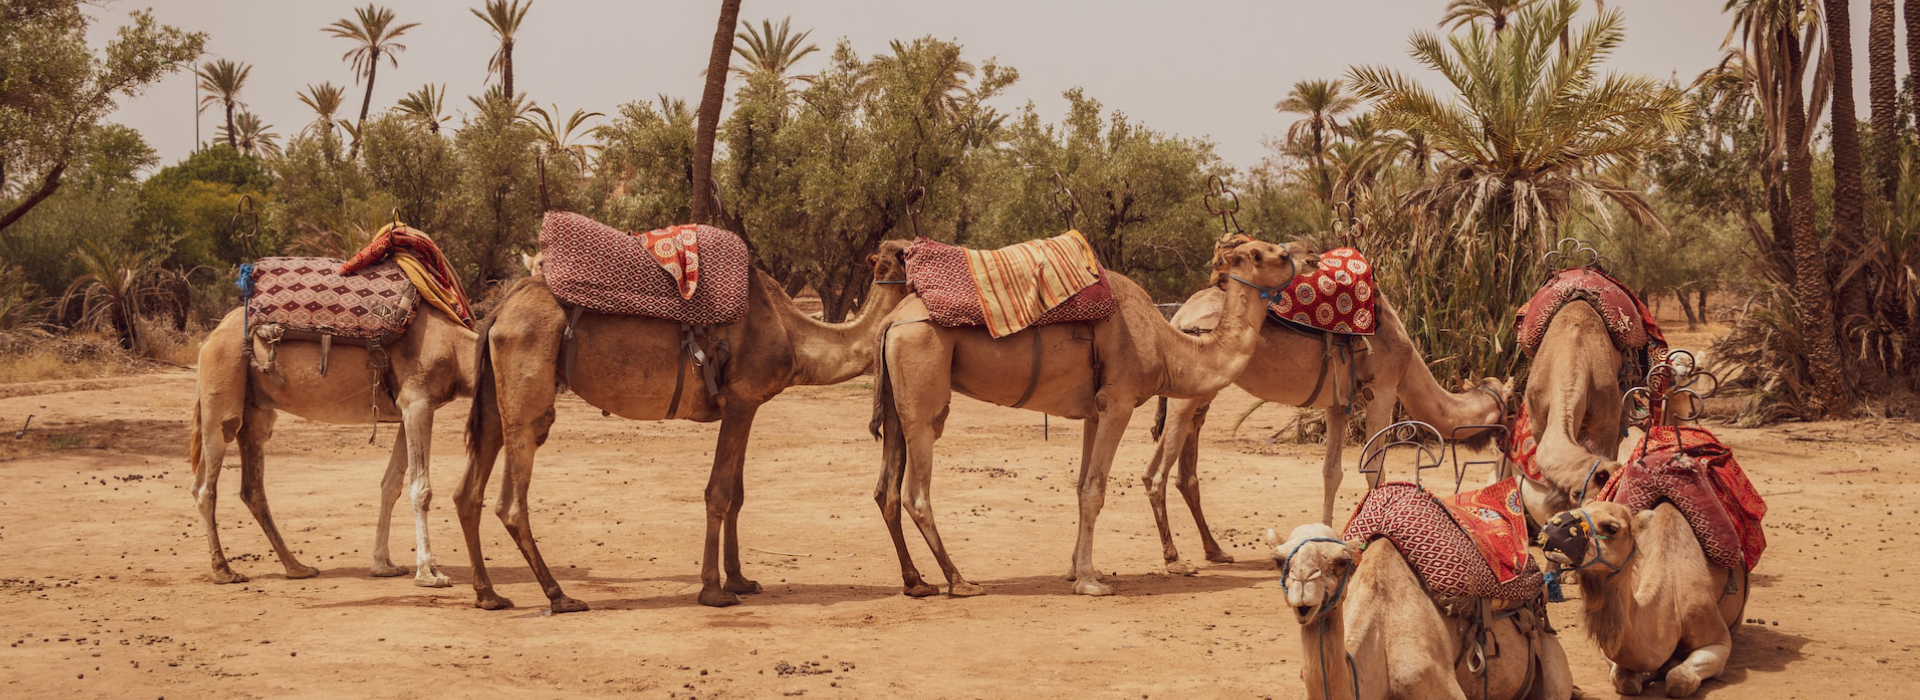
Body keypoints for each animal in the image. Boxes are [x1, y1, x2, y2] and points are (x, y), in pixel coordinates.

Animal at [185, 304, 478, 583]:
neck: (454, 347)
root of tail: (211, 336)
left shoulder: (407, 410)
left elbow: (391, 484)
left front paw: (383, 565)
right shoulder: (418, 400)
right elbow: (420, 490)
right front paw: (429, 573)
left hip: (255, 410)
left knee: (251, 489)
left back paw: (297, 567)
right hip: (222, 392)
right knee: (205, 487)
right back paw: (224, 571)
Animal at [460, 236, 917, 609]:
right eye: (913, 252)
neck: (794, 334)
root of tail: (499, 311)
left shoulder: (744, 405)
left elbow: (737, 495)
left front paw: (741, 580)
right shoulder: (742, 399)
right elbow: (718, 493)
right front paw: (714, 590)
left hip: (495, 395)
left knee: (469, 490)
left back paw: (489, 594)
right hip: (528, 384)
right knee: (511, 498)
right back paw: (559, 596)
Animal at [871, 236, 1305, 598]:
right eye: (1264, 254)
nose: (1303, 257)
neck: (1165, 347)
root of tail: (890, 322)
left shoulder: (1093, 412)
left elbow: (1081, 485)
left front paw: (1077, 570)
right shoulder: (1119, 401)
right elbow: (1095, 490)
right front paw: (1090, 582)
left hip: (895, 399)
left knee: (885, 489)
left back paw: (917, 582)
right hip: (923, 383)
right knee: (916, 492)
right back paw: (959, 581)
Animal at [1536, 502, 1751, 694]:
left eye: (1612, 528)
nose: (1553, 527)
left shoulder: (1718, 638)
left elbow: (1679, 679)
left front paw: (1671, 666)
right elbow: (1624, 679)